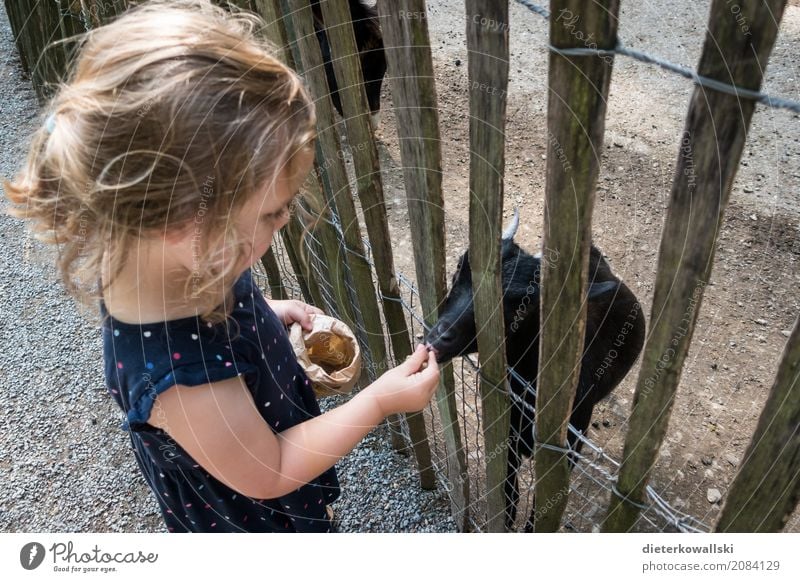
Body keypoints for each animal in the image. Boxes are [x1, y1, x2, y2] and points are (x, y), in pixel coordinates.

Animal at [424, 214, 644, 532]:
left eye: (523, 304)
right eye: (458, 269)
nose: (438, 338)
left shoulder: (565, 454)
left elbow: (541, 508)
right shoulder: (507, 438)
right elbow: (509, 490)